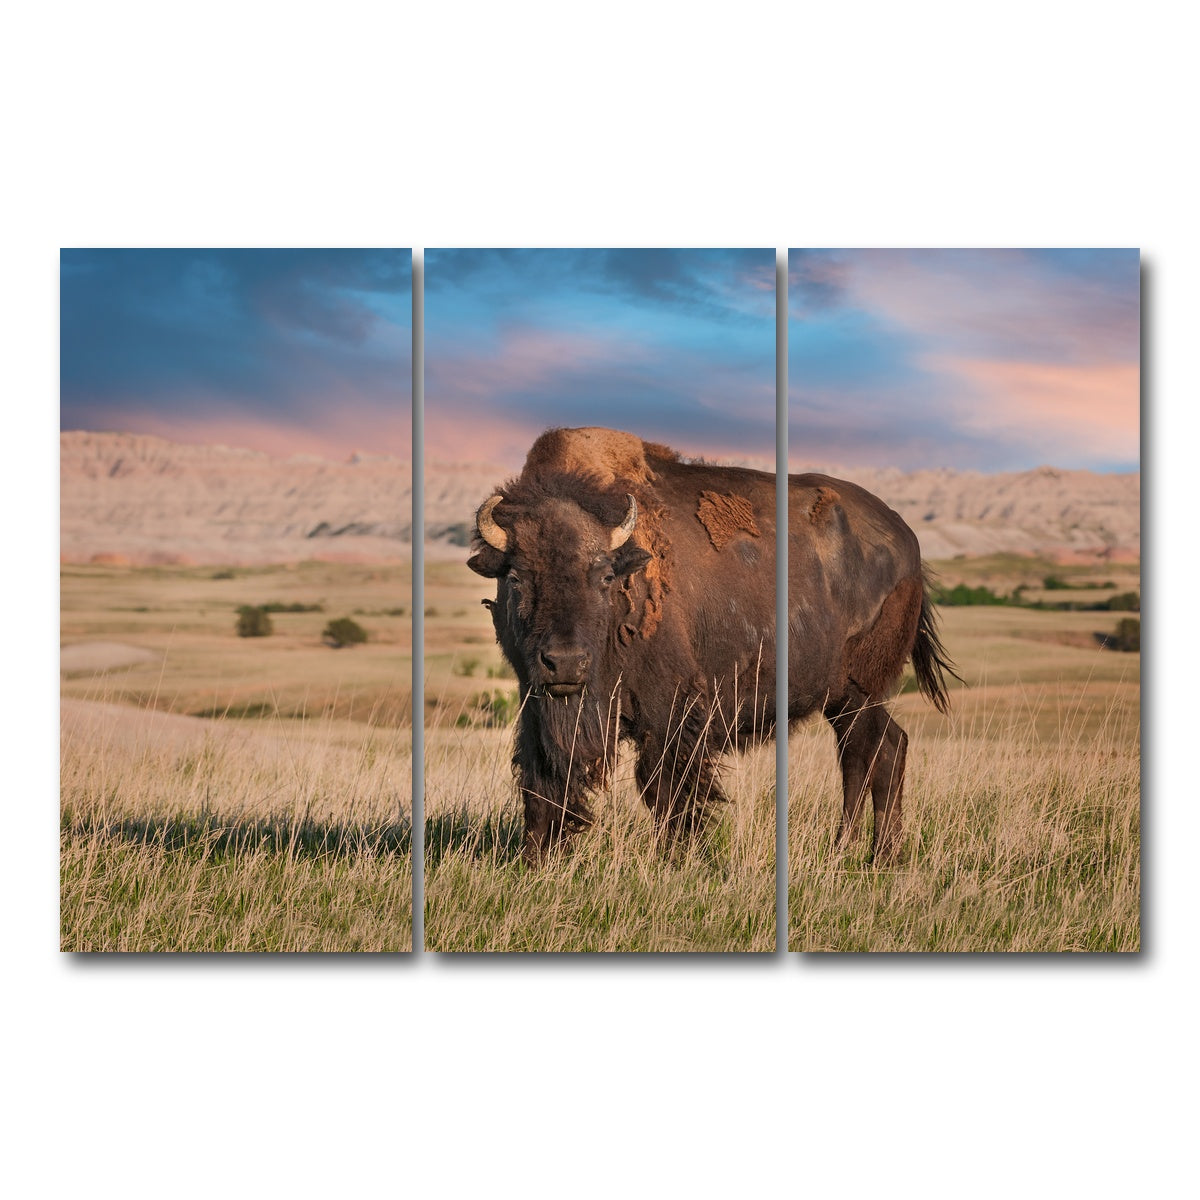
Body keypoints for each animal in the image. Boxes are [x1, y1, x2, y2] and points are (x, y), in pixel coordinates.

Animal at [468, 426, 958, 865]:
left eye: (604, 576)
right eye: (516, 577)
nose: (565, 663)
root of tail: (910, 546)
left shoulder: (670, 709)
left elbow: (666, 786)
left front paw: (679, 858)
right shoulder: (536, 704)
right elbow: (542, 779)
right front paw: (537, 859)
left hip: (860, 694)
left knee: (869, 753)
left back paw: (872, 854)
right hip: (846, 700)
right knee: (879, 750)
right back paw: (860, 852)